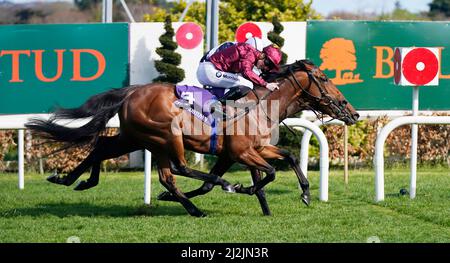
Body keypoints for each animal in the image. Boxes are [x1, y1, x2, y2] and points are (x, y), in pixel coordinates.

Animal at [27, 60, 358, 218]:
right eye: (324, 78)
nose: (351, 112)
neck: (261, 104)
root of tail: (132, 92)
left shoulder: (248, 150)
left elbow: (286, 158)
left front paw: (304, 193)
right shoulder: (242, 152)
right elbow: (270, 172)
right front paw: (246, 188)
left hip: (138, 138)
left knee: (106, 148)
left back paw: (73, 179)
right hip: (165, 136)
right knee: (177, 169)